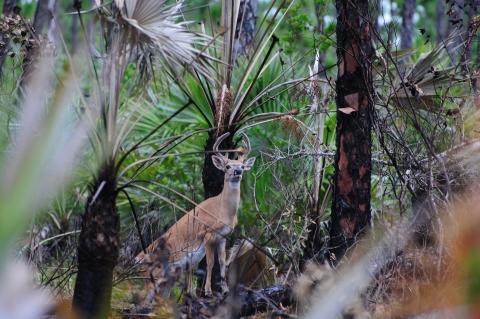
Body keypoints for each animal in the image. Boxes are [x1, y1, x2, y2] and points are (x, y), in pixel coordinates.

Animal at [135, 131, 255, 302]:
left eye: (243, 166)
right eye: (227, 166)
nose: (238, 172)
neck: (223, 210)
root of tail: (137, 260)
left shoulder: (223, 236)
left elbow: (222, 262)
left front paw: (225, 290)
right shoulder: (207, 232)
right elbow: (210, 263)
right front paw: (208, 291)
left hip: (168, 276)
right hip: (152, 277)